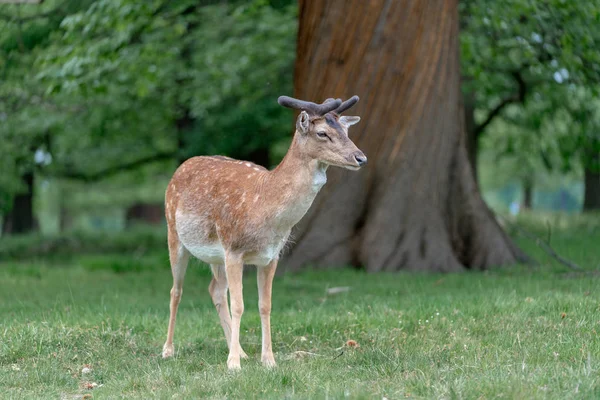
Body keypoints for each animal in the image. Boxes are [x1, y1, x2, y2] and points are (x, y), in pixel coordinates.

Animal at [161, 95, 366, 370]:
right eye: (322, 133)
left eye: (346, 130)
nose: (360, 157)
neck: (264, 208)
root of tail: (181, 166)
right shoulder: (234, 249)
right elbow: (239, 305)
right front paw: (233, 364)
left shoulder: (271, 256)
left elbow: (265, 305)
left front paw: (268, 360)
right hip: (174, 233)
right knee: (176, 290)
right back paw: (168, 349)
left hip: (216, 256)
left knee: (215, 290)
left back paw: (241, 350)